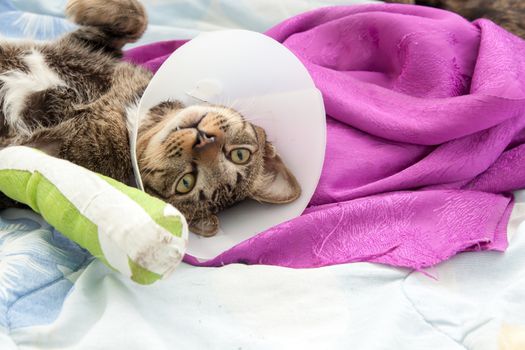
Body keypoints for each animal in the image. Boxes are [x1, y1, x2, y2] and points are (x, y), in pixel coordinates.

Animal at [0, 0, 298, 238]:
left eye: (186, 183)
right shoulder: (91, 49)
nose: (204, 140)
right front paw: (84, 8)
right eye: (240, 154)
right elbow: (138, 19)